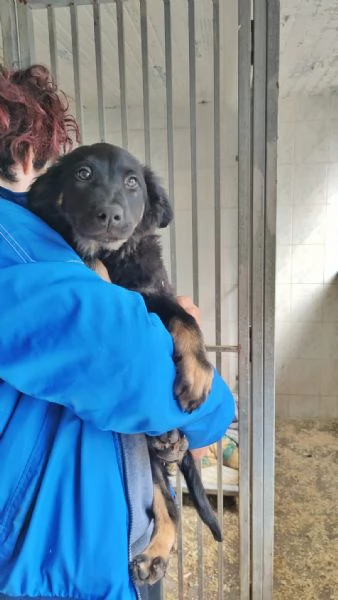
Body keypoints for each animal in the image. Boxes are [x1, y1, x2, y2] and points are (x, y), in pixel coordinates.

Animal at [27, 143, 223, 584]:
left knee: (171, 504)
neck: (112, 256)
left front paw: (199, 372)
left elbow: (184, 318)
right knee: (169, 505)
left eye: (133, 183)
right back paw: (154, 553)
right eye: (82, 174)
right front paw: (93, 266)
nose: (110, 214)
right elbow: (89, 262)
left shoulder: (155, 291)